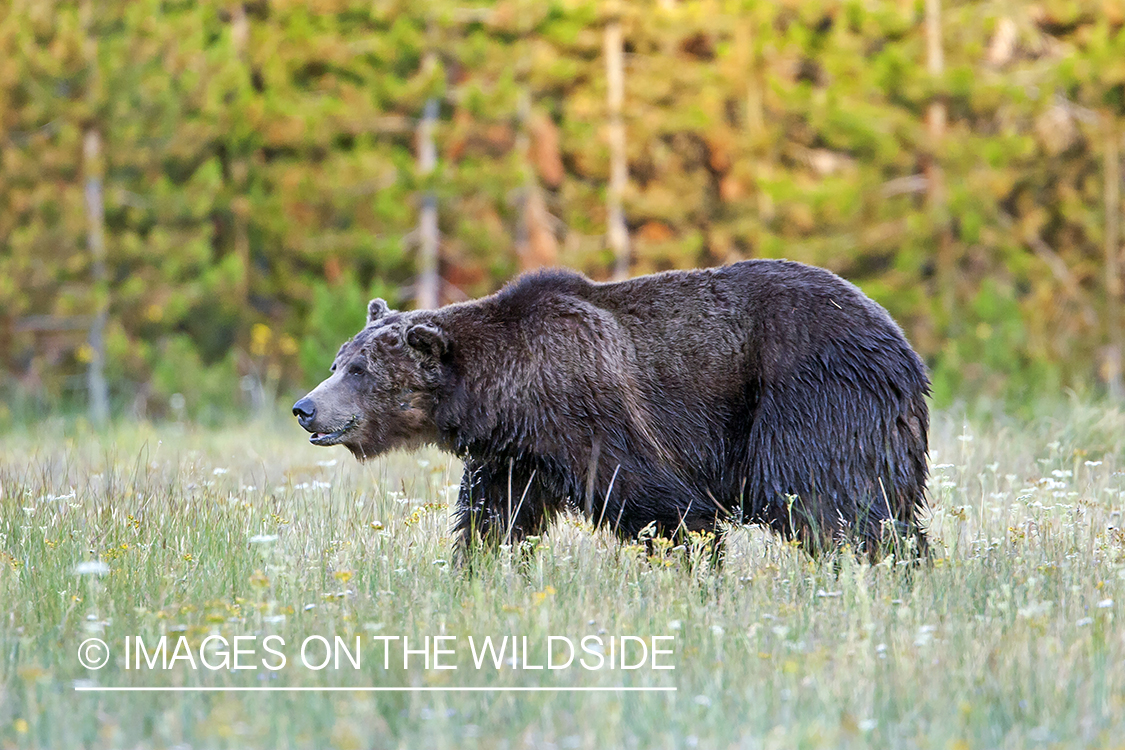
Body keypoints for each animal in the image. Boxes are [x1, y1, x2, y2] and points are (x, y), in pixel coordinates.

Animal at [292, 258, 931, 557]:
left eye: (359, 369)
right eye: (338, 361)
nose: (305, 408)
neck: (504, 393)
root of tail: (901, 345)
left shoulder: (594, 419)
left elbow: (664, 507)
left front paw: (695, 564)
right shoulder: (517, 453)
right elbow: (491, 517)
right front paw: (477, 568)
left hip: (812, 397)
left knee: (829, 498)